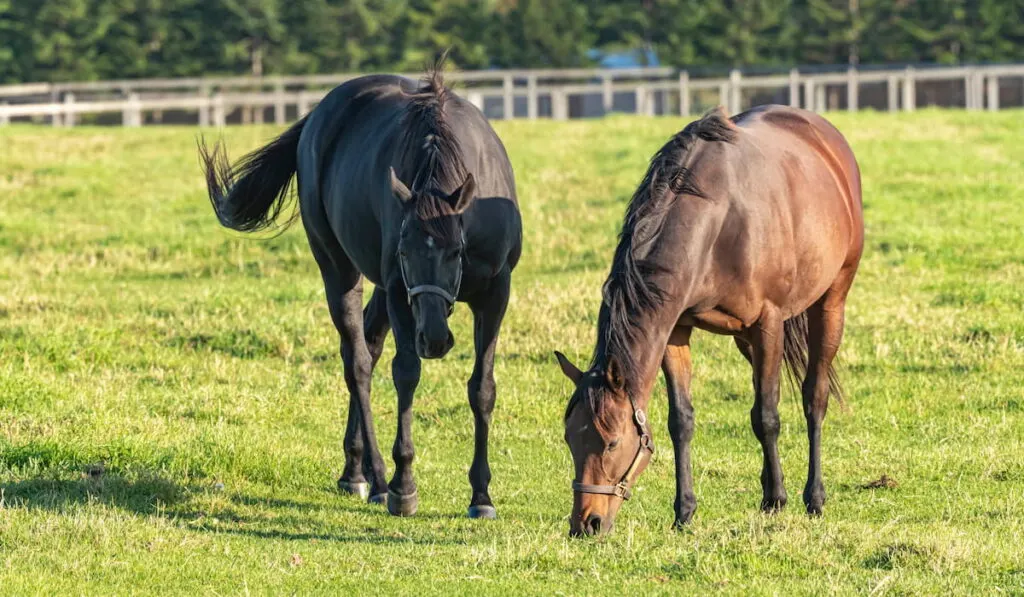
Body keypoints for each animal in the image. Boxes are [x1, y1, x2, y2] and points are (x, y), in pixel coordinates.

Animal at [199, 61, 520, 518]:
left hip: (383, 290)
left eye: (456, 251)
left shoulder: (495, 293)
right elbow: (406, 374)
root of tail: (319, 115)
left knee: (370, 341)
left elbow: (482, 388)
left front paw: (481, 495)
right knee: (358, 362)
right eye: (404, 252)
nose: (434, 338)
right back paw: (375, 478)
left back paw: (356, 469)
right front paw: (404, 485)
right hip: (340, 269)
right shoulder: (401, 292)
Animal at [557, 103, 860, 536]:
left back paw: (812, 497)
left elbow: (767, 415)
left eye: (611, 441)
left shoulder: (768, 323)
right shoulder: (676, 329)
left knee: (813, 396)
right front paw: (684, 511)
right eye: (570, 439)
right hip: (747, 340)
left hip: (831, 302)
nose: (586, 524)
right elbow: (682, 421)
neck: (718, 223)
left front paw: (777, 499)